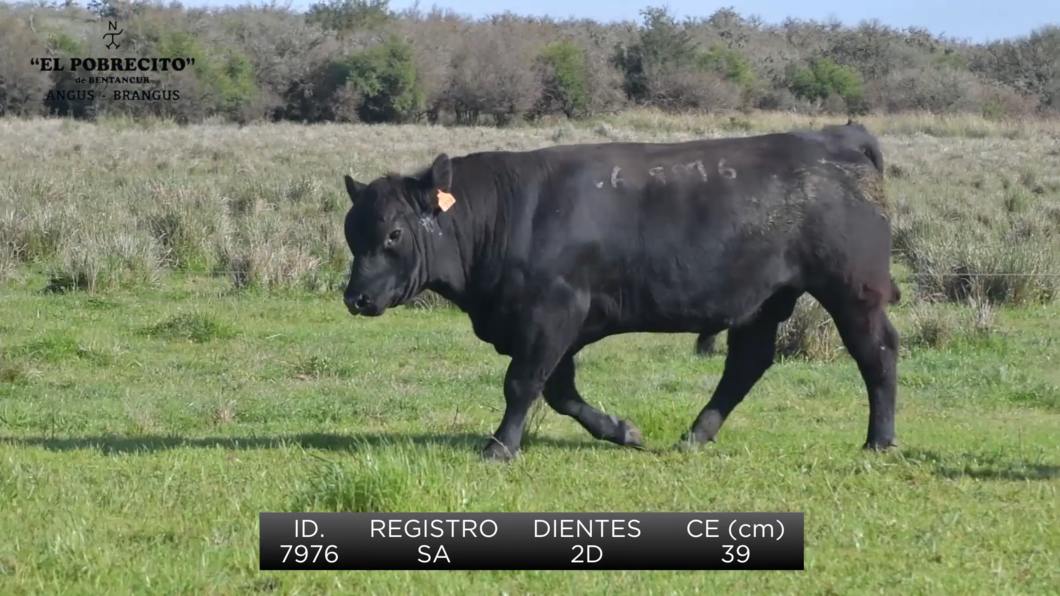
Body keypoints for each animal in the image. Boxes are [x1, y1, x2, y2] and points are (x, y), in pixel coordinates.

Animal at [341, 123, 903, 462]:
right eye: (352, 232)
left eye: (393, 234)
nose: (355, 299)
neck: (510, 211)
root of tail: (838, 136)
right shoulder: (554, 328)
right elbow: (560, 392)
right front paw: (622, 430)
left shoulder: (553, 313)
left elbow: (522, 383)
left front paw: (500, 447)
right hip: (763, 302)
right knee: (747, 363)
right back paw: (695, 435)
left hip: (854, 290)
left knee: (876, 353)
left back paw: (878, 441)